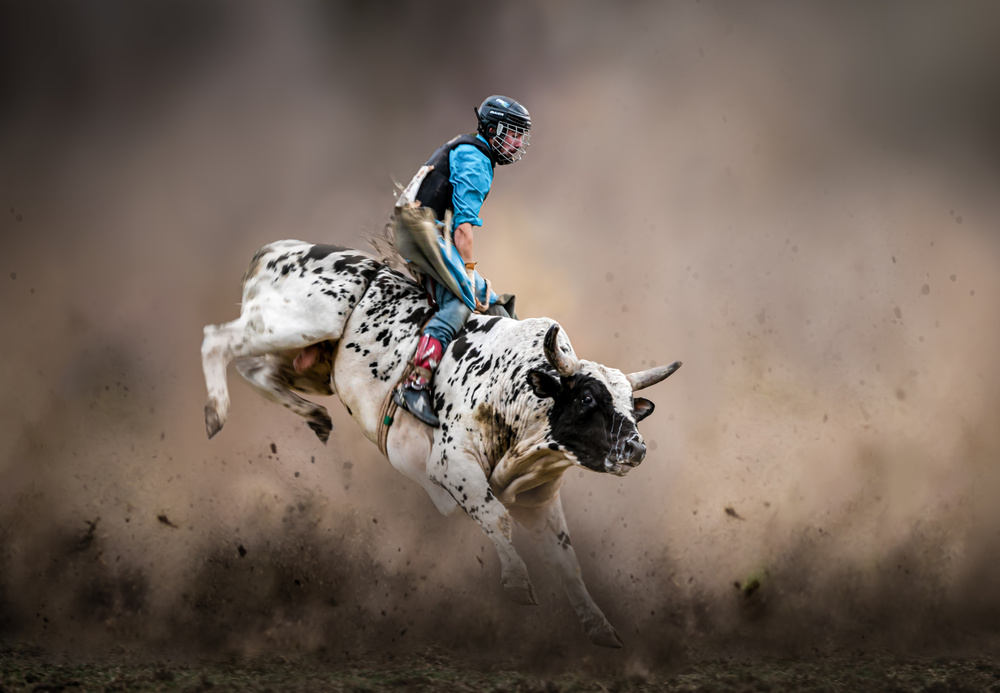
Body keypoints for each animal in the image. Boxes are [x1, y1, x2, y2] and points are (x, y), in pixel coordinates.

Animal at [201, 241, 681, 647]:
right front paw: (517, 583)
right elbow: (496, 517)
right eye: (586, 397)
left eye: (632, 407)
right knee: (215, 340)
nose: (636, 448)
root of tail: (275, 250)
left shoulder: (538, 498)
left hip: (306, 361)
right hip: (295, 325)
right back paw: (215, 413)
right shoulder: (452, 464)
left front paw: (600, 628)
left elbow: (567, 560)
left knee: (256, 370)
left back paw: (315, 418)